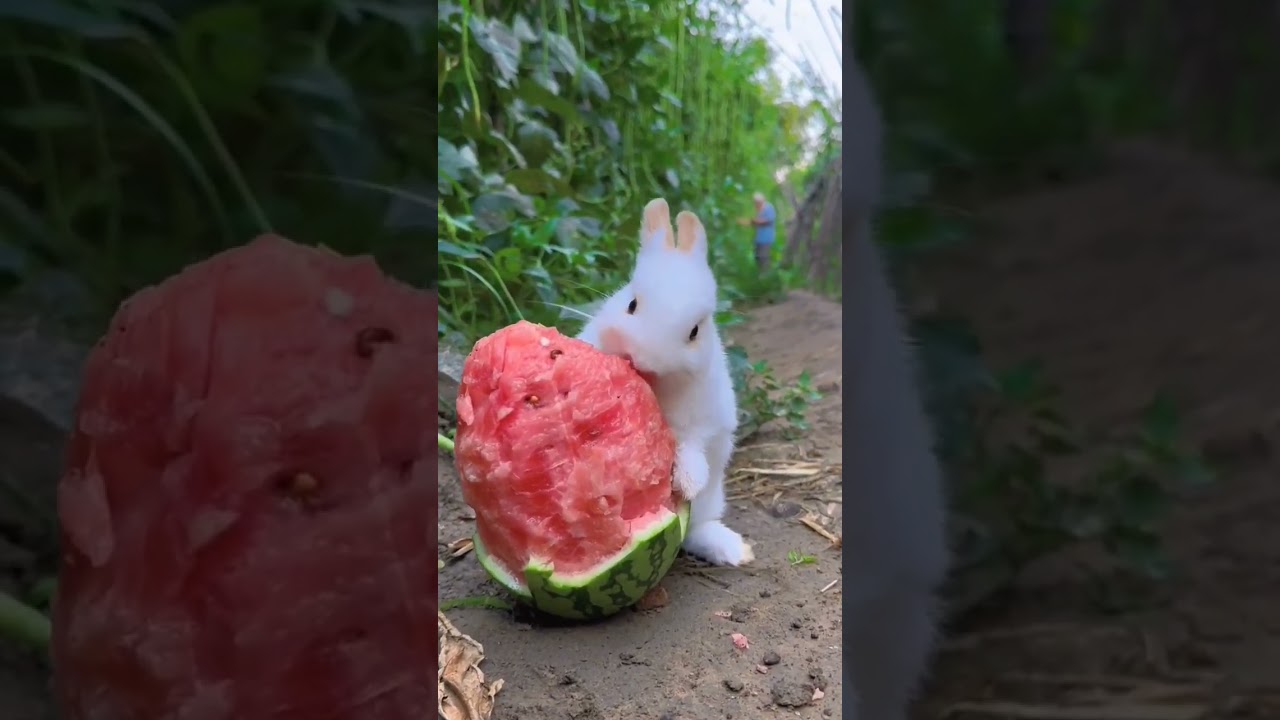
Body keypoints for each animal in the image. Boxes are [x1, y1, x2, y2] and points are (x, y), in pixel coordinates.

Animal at [577, 198, 754, 567]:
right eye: (631, 304)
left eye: (694, 331)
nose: (640, 361)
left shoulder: (705, 424)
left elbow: (692, 447)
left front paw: (686, 483)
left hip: (711, 502)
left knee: (697, 529)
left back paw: (733, 551)